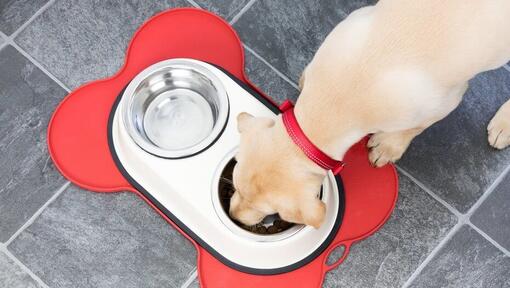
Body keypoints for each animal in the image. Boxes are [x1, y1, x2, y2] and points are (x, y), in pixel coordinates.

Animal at [229, 0, 510, 230]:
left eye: (271, 212)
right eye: (236, 185)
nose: (233, 216)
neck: (340, 97)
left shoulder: (445, 101)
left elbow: (415, 127)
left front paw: (389, 145)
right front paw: (305, 78)